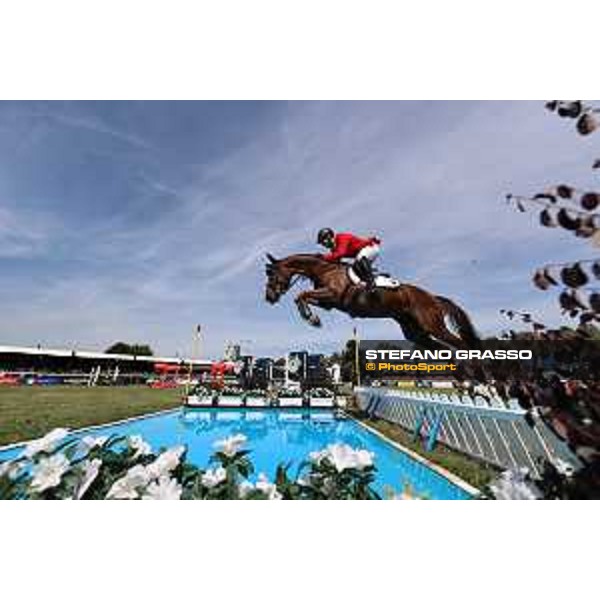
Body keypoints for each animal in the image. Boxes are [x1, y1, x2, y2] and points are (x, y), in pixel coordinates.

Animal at [264, 251, 480, 350]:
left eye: (271, 275)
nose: (269, 298)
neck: (324, 270)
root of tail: (433, 297)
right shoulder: (328, 303)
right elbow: (302, 297)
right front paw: (312, 318)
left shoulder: (333, 295)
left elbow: (301, 295)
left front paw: (312, 319)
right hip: (415, 332)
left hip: (433, 325)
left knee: (462, 345)